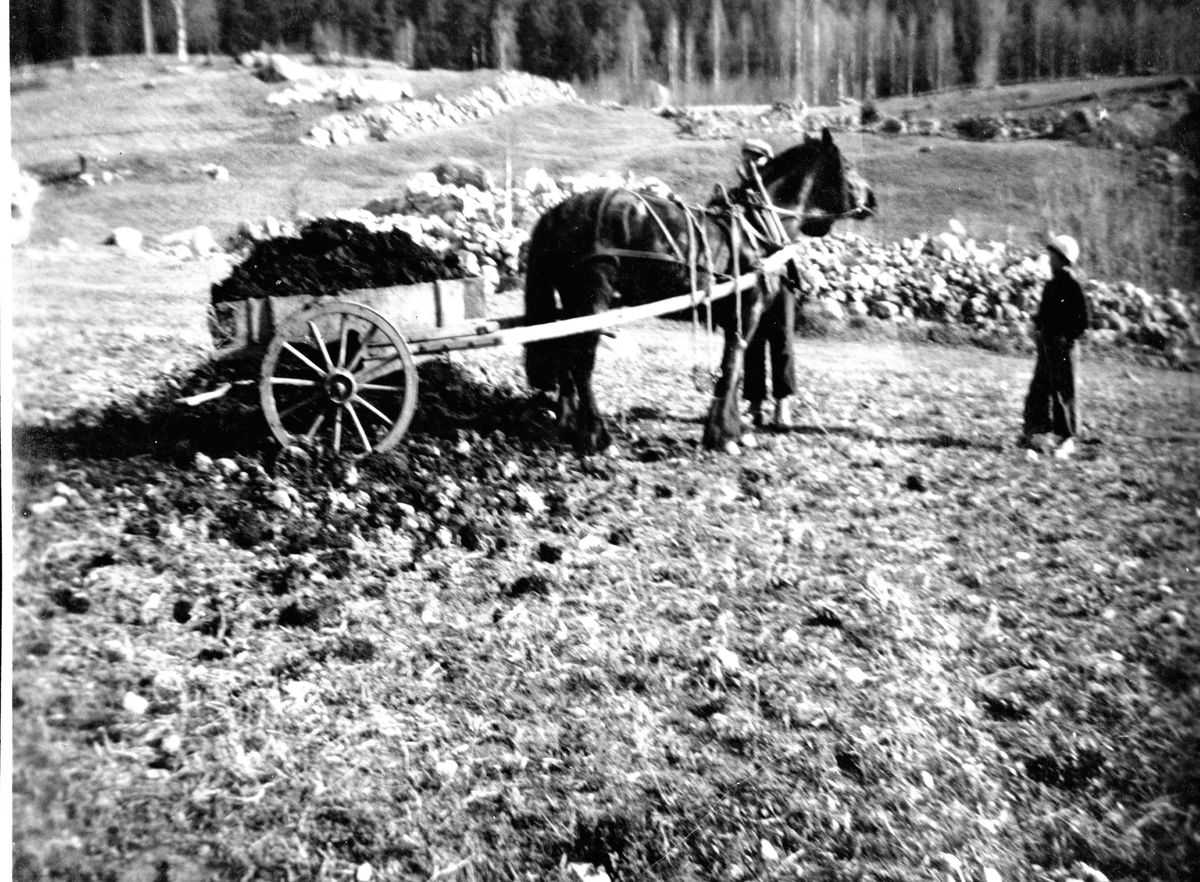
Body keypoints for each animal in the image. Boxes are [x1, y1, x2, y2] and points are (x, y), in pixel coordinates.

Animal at [520, 129, 878, 456]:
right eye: (847, 165)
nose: (873, 199)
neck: (756, 226)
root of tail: (558, 212)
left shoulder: (738, 315)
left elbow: (733, 369)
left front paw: (735, 429)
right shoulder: (747, 311)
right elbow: (733, 367)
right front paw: (723, 435)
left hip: (572, 304)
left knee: (563, 353)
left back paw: (569, 423)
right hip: (592, 299)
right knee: (581, 362)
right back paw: (597, 436)